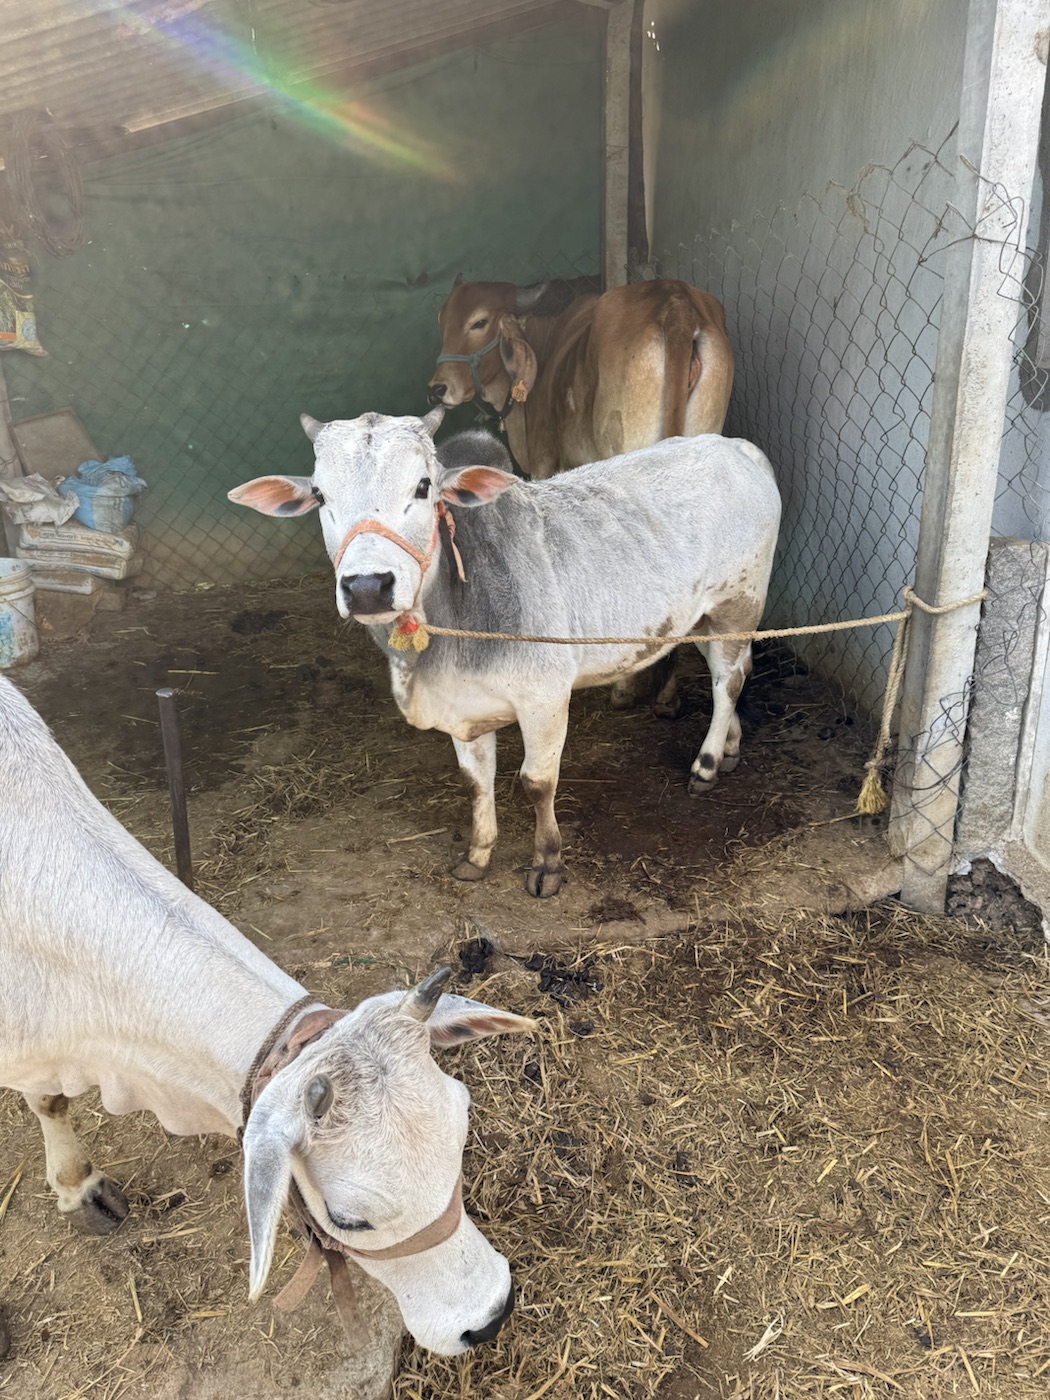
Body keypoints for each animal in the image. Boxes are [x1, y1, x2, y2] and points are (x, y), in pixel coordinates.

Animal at [0, 674, 534, 1356]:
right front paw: (78, 1187)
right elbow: (48, 1100)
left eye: (461, 1137)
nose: (491, 1316)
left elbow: (49, 1097)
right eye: (348, 1219)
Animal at [229, 409, 781, 899]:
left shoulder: (545, 698)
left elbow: (537, 783)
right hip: (703, 618)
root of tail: (736, 447)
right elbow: (476, 783)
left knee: (727, 680)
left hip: (738, 604)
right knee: (731, 671)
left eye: (424, 486)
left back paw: (706, 764)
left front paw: (547, 865)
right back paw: (730, 746)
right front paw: (477, 855)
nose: (367, 586)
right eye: (321, 494)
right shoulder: (465, 712)